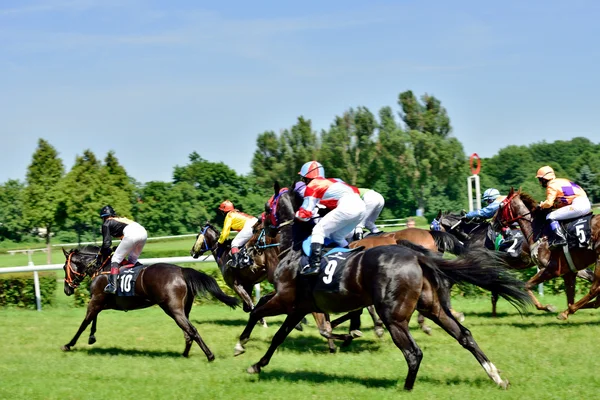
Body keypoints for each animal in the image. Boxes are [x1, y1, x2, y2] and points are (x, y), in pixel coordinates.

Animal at [60, 245, 239, 360]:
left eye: (63, 267)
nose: (67, 289)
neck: (101, 268)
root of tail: (181, 270)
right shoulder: (100, 302)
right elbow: (93, 320)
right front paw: (91, 337)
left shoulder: (96, 300)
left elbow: (84, 323)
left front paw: (68, 345)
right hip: (184, 309)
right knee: (187, 332)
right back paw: (184, 354)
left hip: (172, 309)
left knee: (192, 330)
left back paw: (209, 355)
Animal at [232, 185, 532, 390]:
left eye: (265, 210)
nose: (249, 245)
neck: (295, 249)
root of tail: (417, 256)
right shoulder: (300, 306)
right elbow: (279, 335)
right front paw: (257, 364)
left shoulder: (286, 300)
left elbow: (258, 312)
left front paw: (240, 345)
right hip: (430, 305)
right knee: (464, 335)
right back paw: (495, 376)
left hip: (394, 315)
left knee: (413, 352)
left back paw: (407, 386)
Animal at [492, 189, 600, 320]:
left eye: (500, 206)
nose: (492, 222)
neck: (541, 232)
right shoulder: (569, 272)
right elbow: (570, 299)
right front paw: (561, 310)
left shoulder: (552, 269)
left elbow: (526, 285)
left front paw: (549, 308)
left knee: (595, 289)